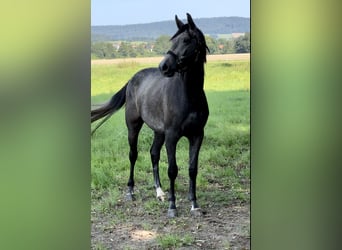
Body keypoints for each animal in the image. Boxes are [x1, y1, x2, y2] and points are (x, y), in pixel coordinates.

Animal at [91, 13, 208, 217]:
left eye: (186, 40)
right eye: (173, 39)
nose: (164, 66)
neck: (189, 96)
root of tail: (132, 79)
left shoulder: (197, 135)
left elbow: (192, 169)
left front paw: (194, 205)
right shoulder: (172, 136)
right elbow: (172, 170)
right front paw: (172, 207)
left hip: (158, 131)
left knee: (153, 154)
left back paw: (159, 192)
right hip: (134, 126)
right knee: (133, 155)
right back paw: (130, 192)